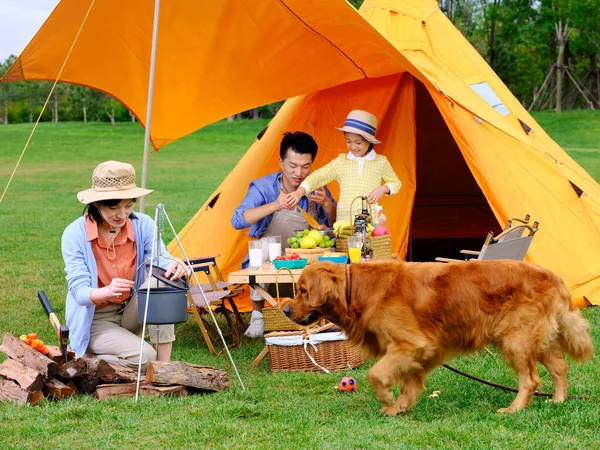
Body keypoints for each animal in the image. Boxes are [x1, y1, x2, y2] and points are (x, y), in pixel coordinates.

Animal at [284, 260, 592, 414]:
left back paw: (514, 409)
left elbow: (375, 374)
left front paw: (387, 400)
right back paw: (558, 400)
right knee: (560, 367)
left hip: (515, 340)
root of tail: (555, 277)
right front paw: (400, 407)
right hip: (535, 340)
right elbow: (408, 383)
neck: (357, 289)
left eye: (302, 291)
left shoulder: (412, 344)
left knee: (531, 380)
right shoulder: (419, 351)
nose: (285, 309)